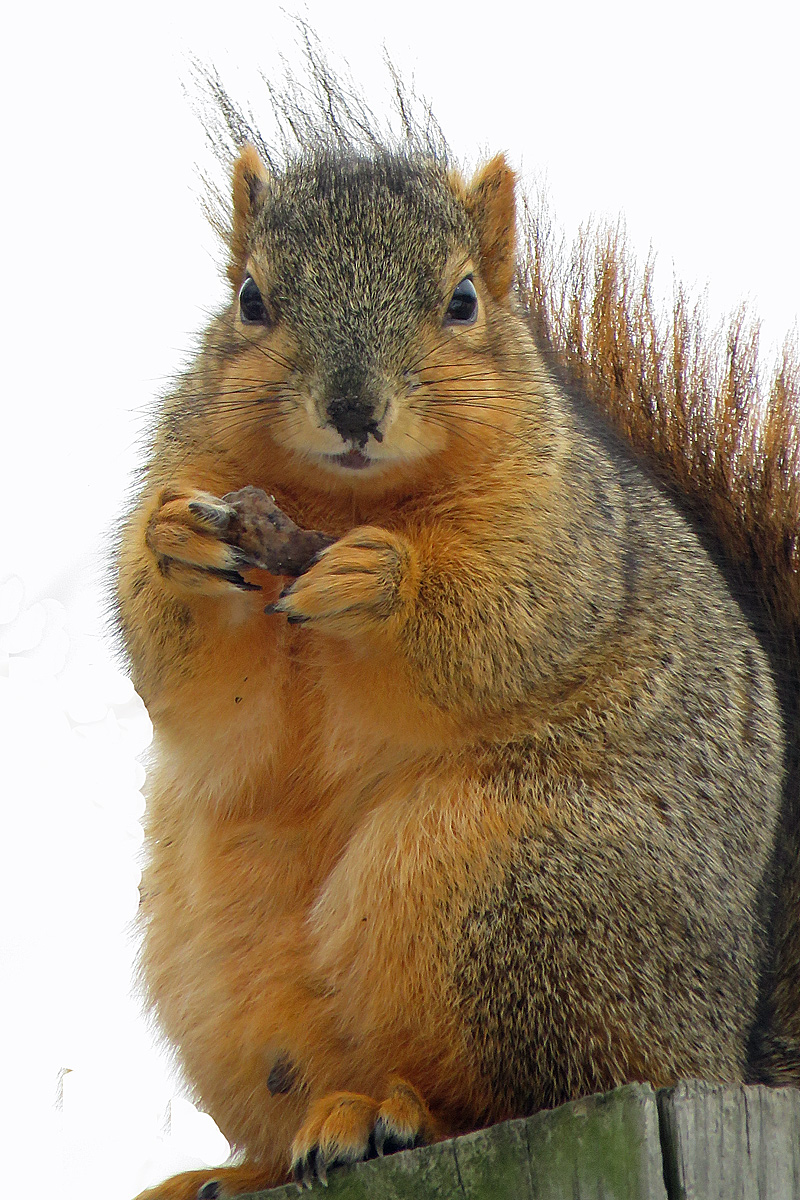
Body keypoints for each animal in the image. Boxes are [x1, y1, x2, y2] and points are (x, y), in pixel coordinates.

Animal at [115, 84, 800, 1199]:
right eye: (250, 300)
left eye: (464, 302)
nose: (353, 408)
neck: (341, 498)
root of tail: (723, 1050)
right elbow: (175, 669)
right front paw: (177, 541)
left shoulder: (556, 536)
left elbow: (491, 619)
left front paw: (376, 578)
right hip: (221, 960)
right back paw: (249, 1164)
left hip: (513, 889)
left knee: (530, 1086)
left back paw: (394, 1114)